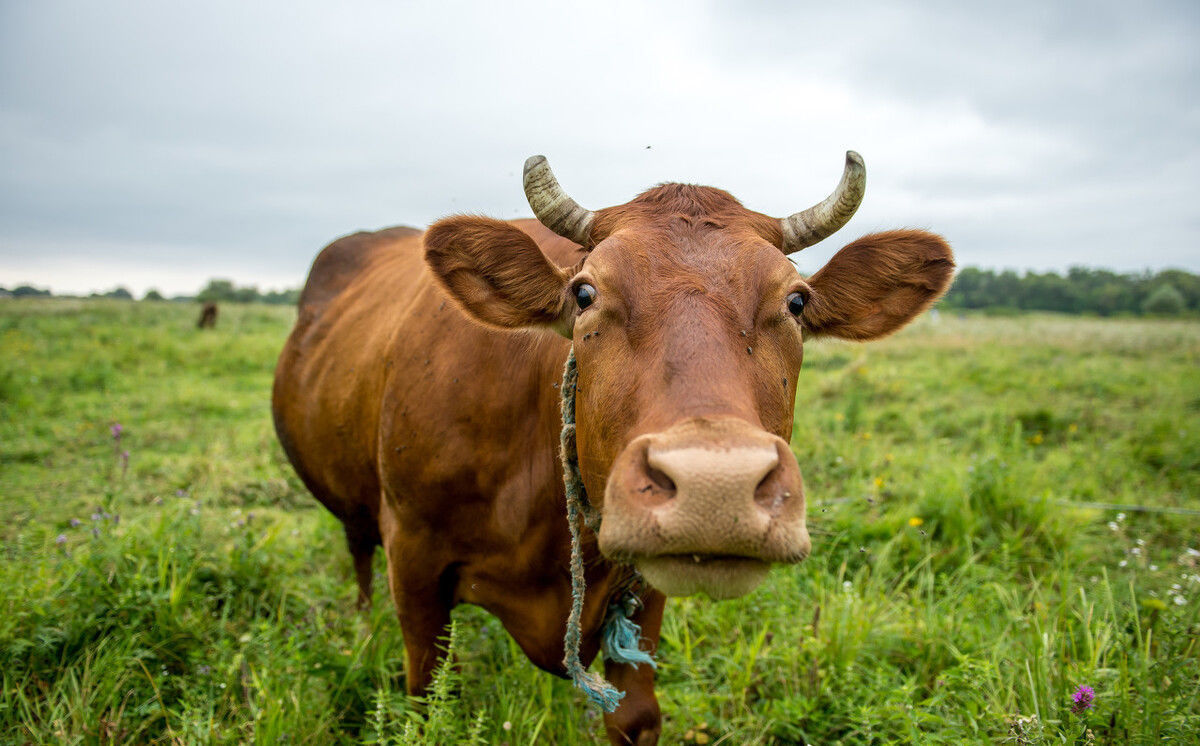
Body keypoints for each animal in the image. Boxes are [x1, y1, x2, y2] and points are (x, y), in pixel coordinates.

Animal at [272, 154, 955, 743]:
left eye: (796, 301)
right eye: (584, 294)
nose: (717, 488)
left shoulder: (643, 585)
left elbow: (635, 715)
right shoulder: (414, 559)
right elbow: (428, 700)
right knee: (358, 552)